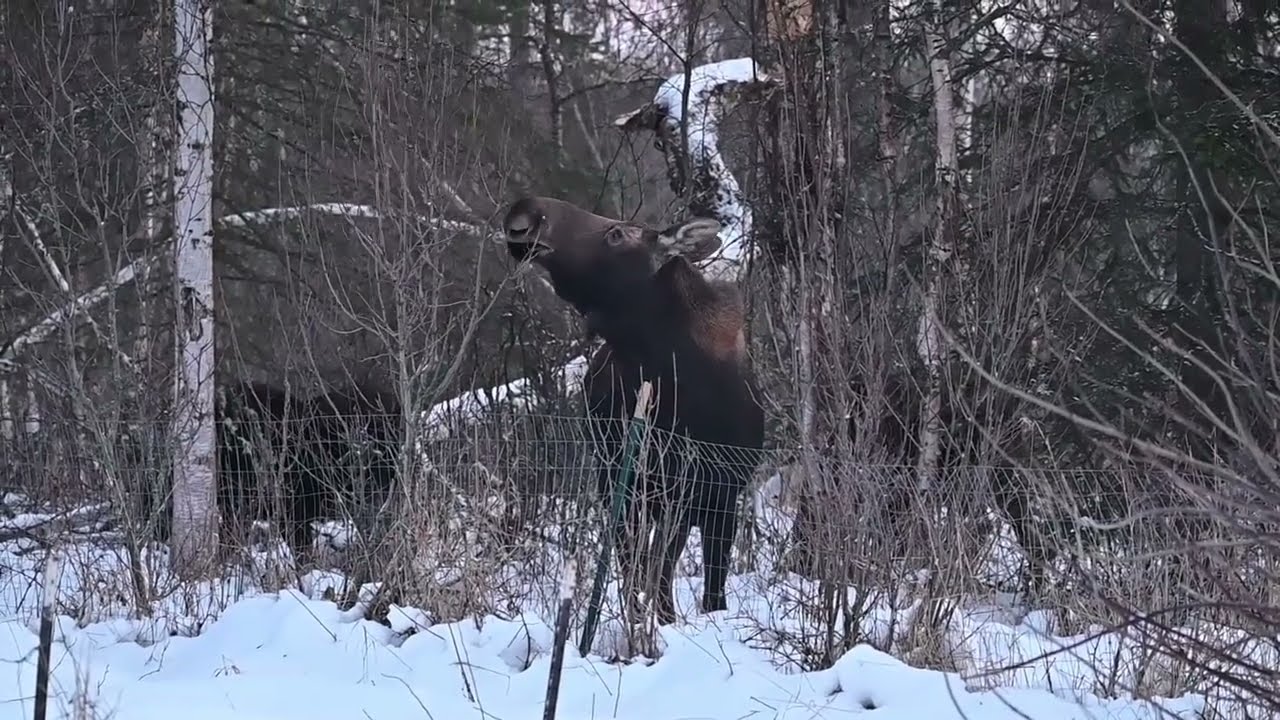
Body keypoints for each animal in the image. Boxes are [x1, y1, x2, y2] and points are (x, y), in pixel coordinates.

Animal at [500, 196, 766, 626]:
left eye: (617, 233)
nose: (524, 213)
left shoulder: (716, 497)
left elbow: (706, 591)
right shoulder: (625, 490)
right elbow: (640, 576)